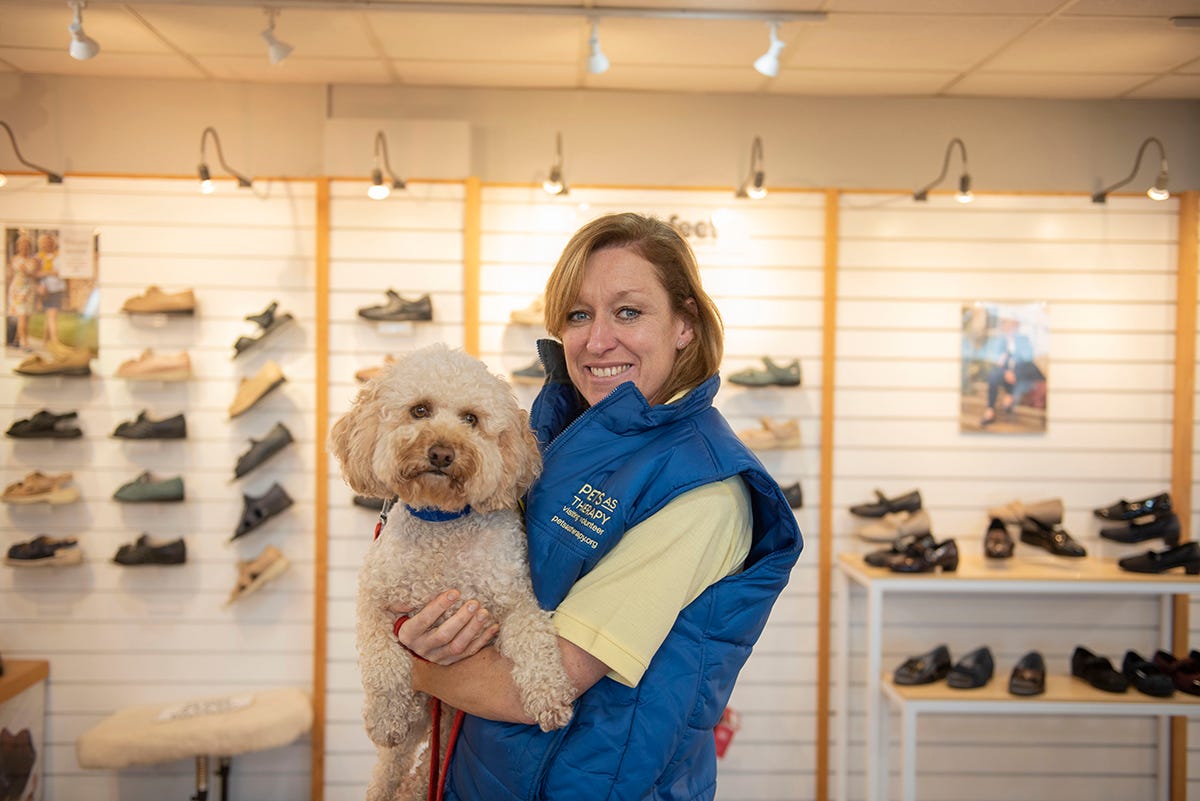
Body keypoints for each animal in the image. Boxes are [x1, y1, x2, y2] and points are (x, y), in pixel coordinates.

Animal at [328, 342, 571, 801]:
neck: (443, 523)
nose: (442, 453)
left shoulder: (515, 604)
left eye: (471, 419)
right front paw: (383, 717)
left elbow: (535, 642)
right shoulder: (373, 602)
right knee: (393, 764)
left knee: (428, 762)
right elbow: (383, 663)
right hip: (421, 717)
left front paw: (550, 695)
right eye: (419, 410)